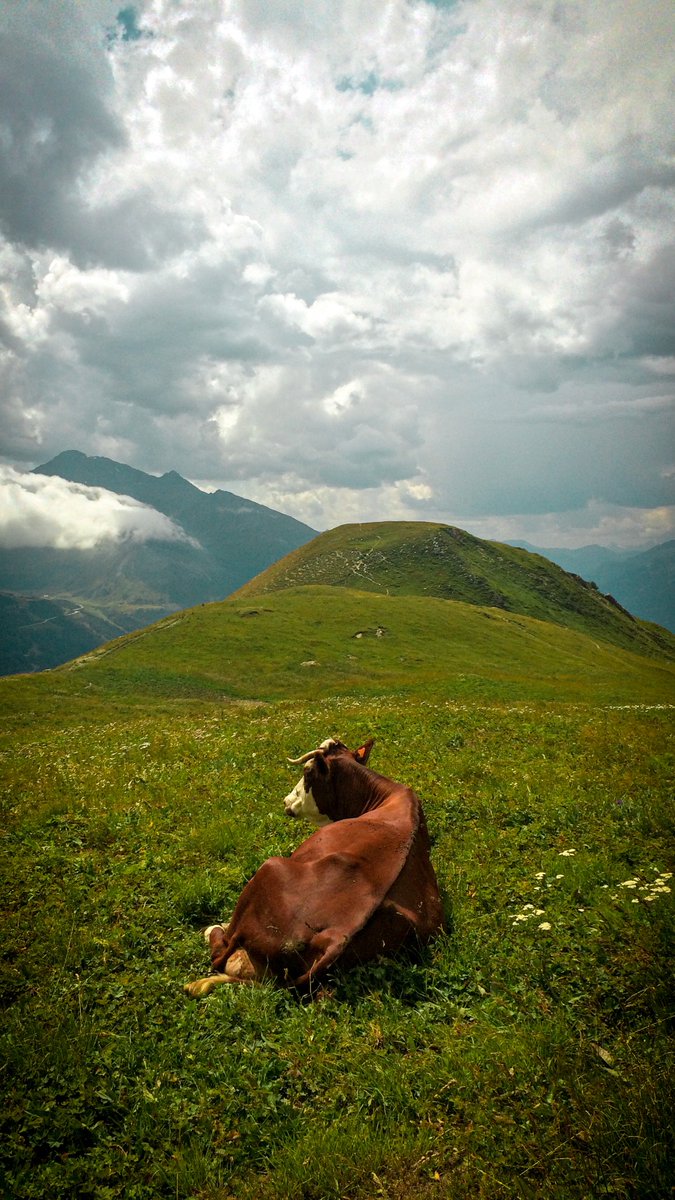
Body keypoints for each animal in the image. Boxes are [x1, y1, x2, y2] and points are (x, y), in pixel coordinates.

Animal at [184, 738, 444, 997]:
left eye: (307, 773)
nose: (287, 800)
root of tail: (335, 937)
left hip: (271, 866)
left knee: (221, 952)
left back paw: (214, 929)